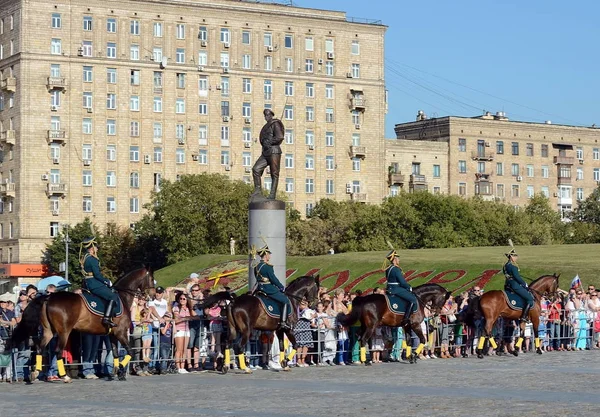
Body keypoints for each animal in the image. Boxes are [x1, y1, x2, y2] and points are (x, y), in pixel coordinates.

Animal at [9, 266, 155, 380]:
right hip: (64, 332)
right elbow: (130, 352)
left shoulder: (112, 334)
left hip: (49, 331)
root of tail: (49, 297)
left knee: (40, 348)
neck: (122, 297)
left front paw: (117, 373)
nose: (153, 295)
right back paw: (65, 376)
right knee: (58, 352)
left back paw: (35, 372)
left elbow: (115, 353)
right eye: (152, 279)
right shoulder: (121, 333)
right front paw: (119, 370)